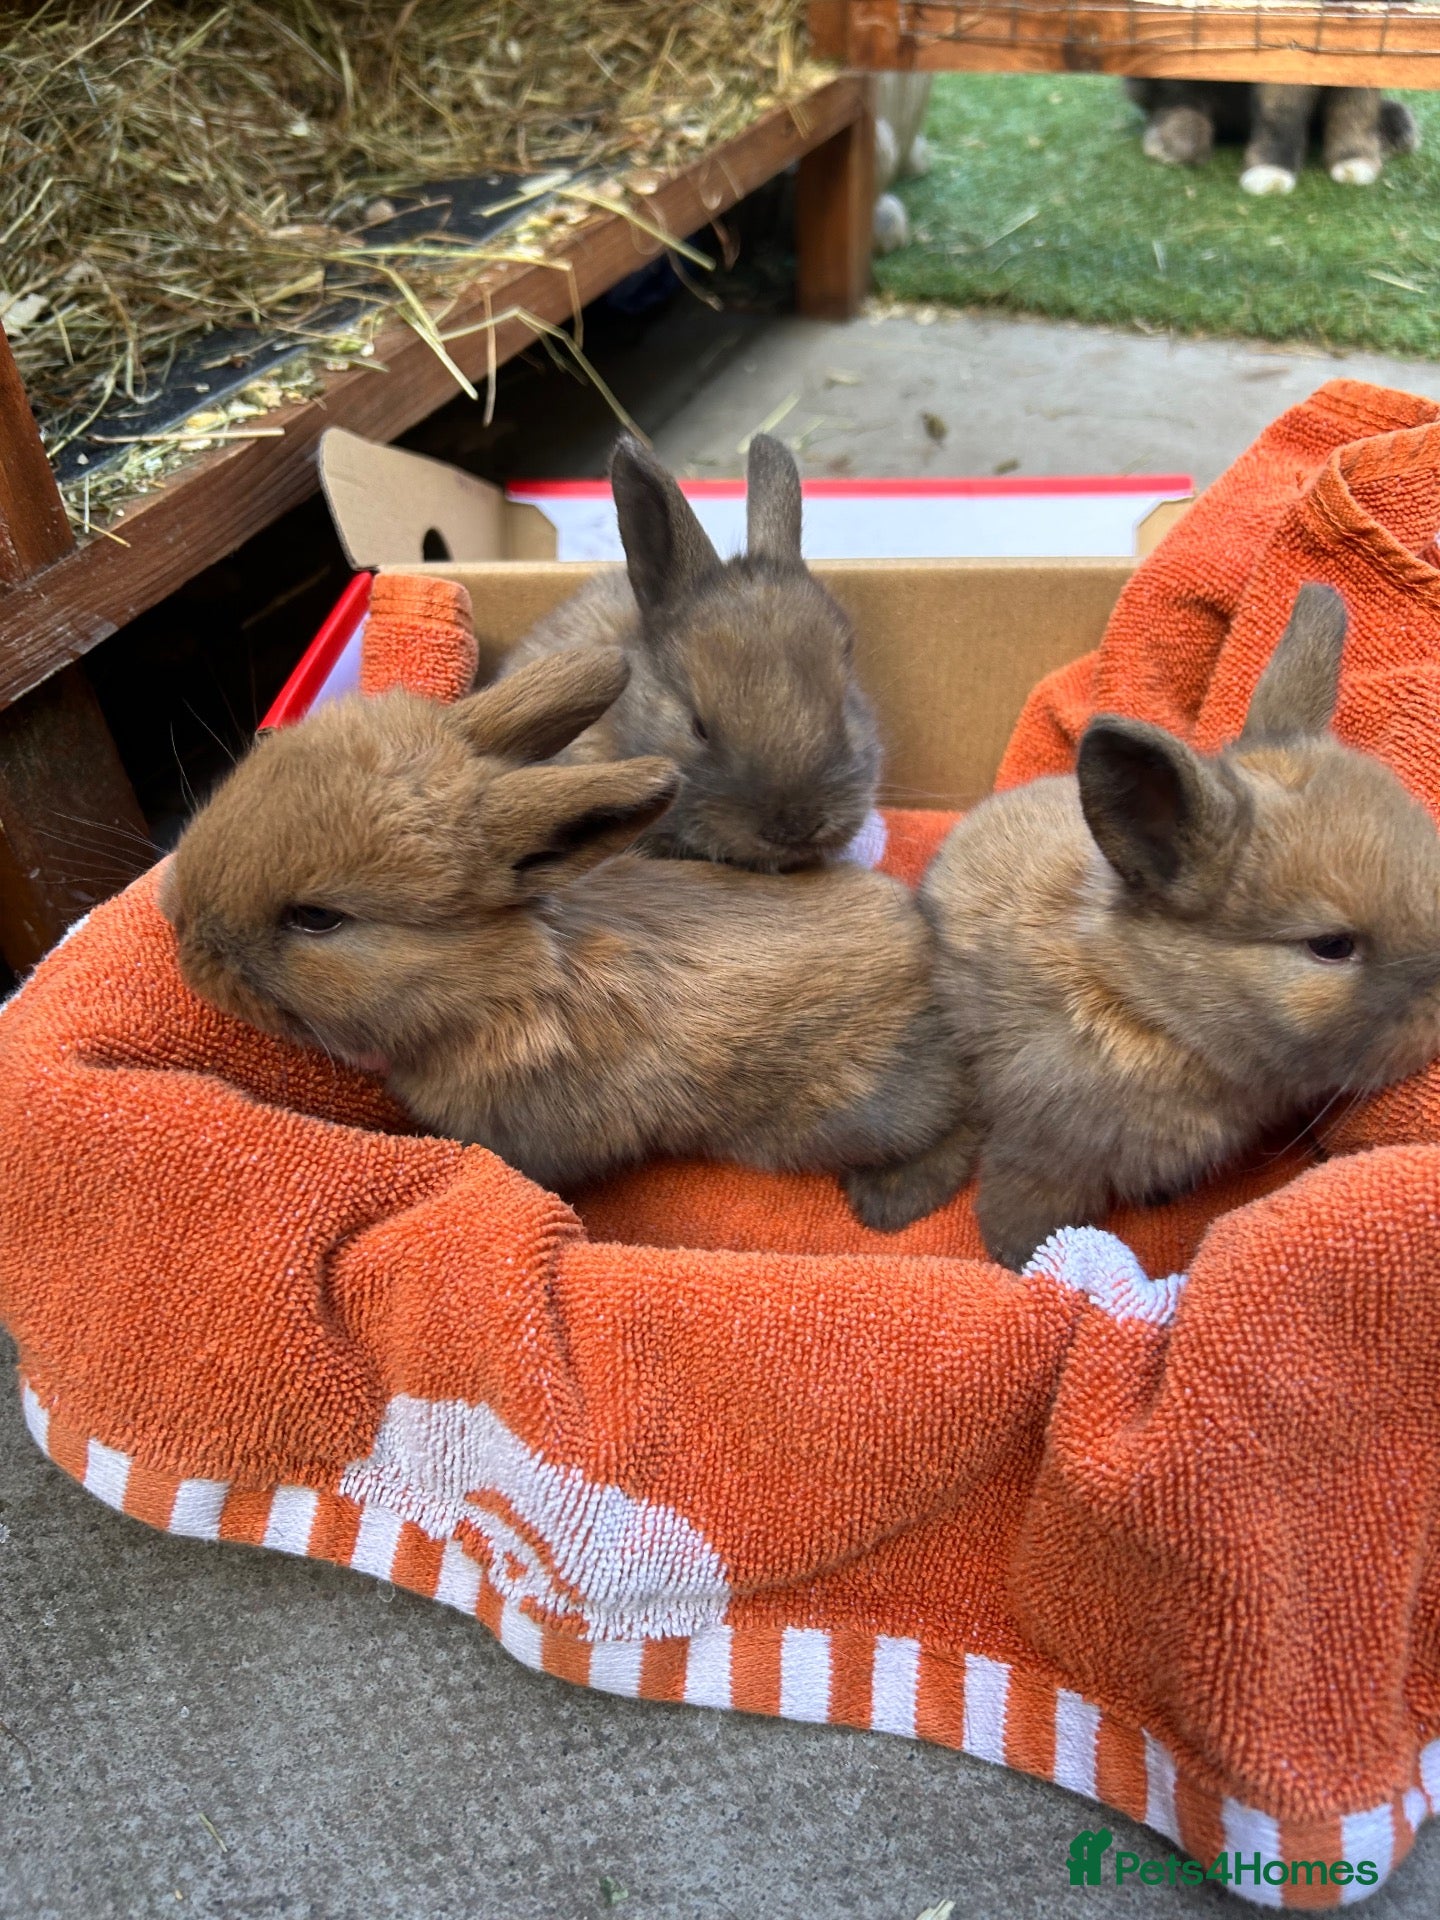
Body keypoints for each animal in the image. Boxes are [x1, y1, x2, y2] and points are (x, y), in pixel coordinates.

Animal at [872, 583, 1440, 1270]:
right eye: (1330, 945)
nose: (1437, 1017)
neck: (1155, 1012)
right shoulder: (1041, 1150)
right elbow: (1023, 1209)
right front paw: (1022, 1266)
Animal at [1127, 78, 1418, 192]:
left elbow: (1355, 109)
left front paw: (1355, 165)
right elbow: (1281, 111)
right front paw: (1270, 175)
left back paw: (1396, 129)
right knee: (1176, 98)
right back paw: (1172, 142)